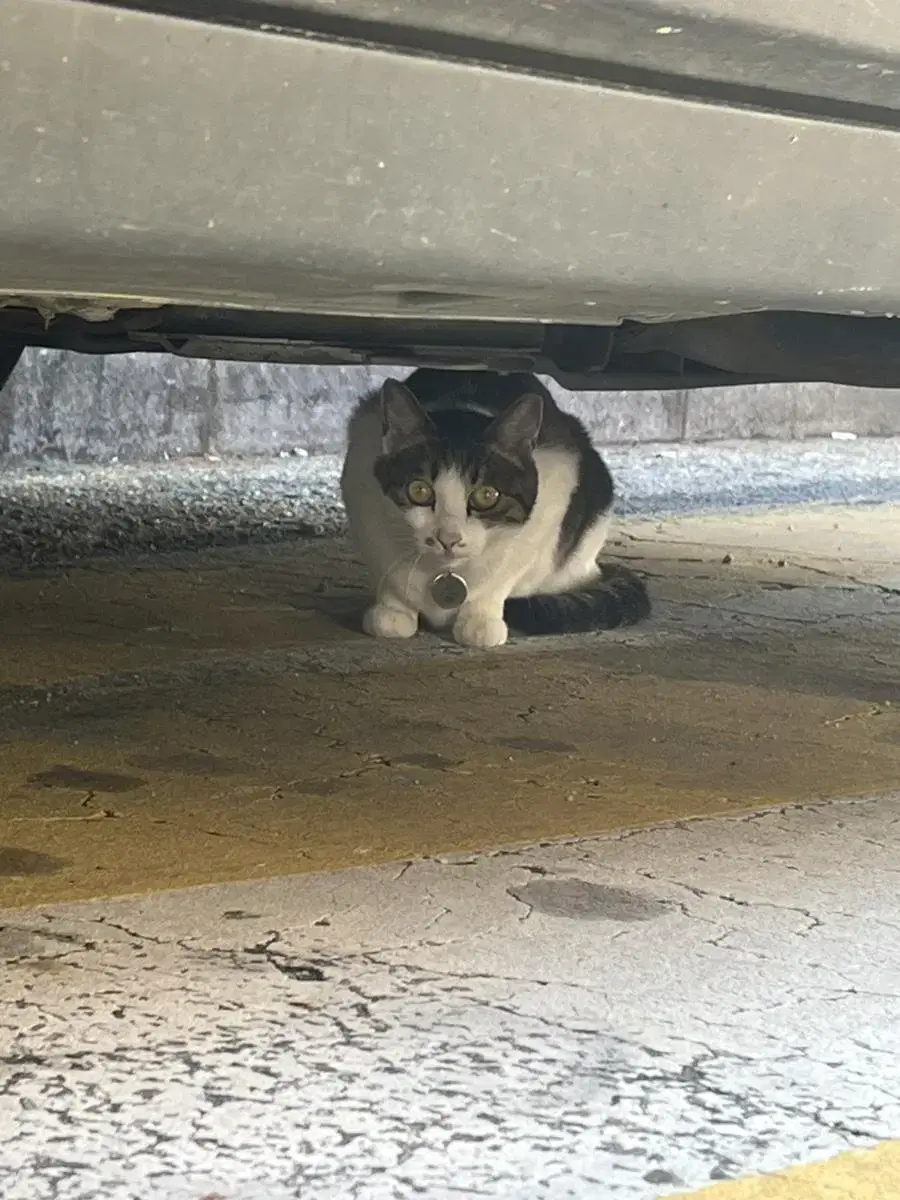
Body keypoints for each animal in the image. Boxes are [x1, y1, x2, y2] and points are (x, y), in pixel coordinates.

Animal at [340, 367, 652, 648]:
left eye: (487, 495)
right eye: (419, 490)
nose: (448, 538)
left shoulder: (556, 484)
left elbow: (505, 571)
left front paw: (480, 618)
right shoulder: (360, 480)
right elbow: (386, 571)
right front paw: (393, 610)